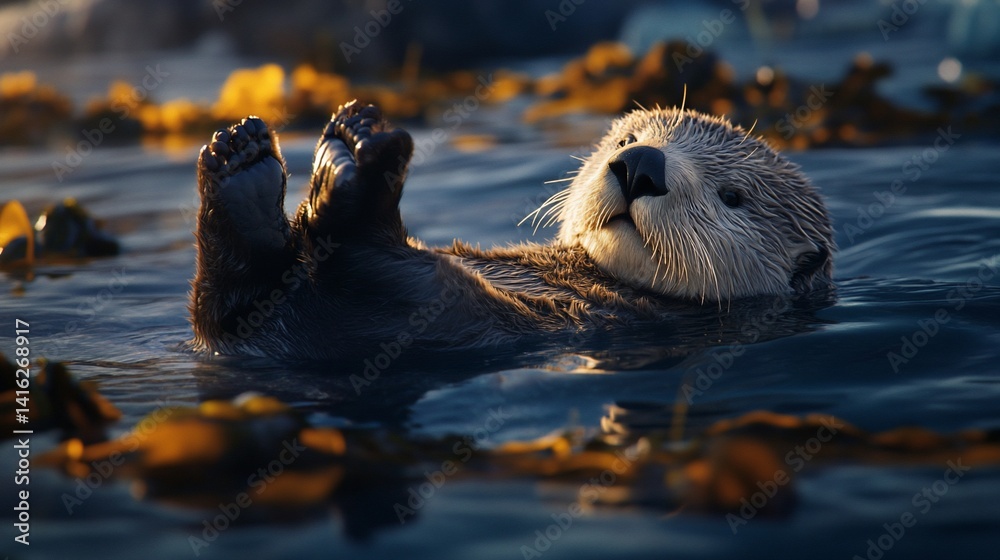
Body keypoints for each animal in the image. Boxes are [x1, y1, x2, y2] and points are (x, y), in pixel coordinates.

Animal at [189, 102, 833, 360]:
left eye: (733, 197)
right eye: (628, 139)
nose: (641, 164)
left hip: (416, 296)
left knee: (347, 250)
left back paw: (359, 157)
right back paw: (246, 161)